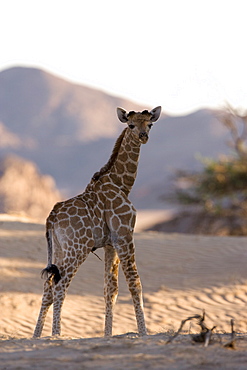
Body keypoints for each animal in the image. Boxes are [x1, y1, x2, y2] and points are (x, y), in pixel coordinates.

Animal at [33, 106, 162, 338]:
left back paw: (36, 336)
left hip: (59, 248)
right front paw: (143, 332)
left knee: (48, 287)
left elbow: (110, 289)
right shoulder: (124, 235)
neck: (122, 184)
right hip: (78, 248)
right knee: (59, 286)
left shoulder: (110, 244)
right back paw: (56, 334)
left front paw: (108, 334)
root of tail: (51, 217)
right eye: (131, 125)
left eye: (150, 124)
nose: (143, 136)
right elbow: (135, 283)